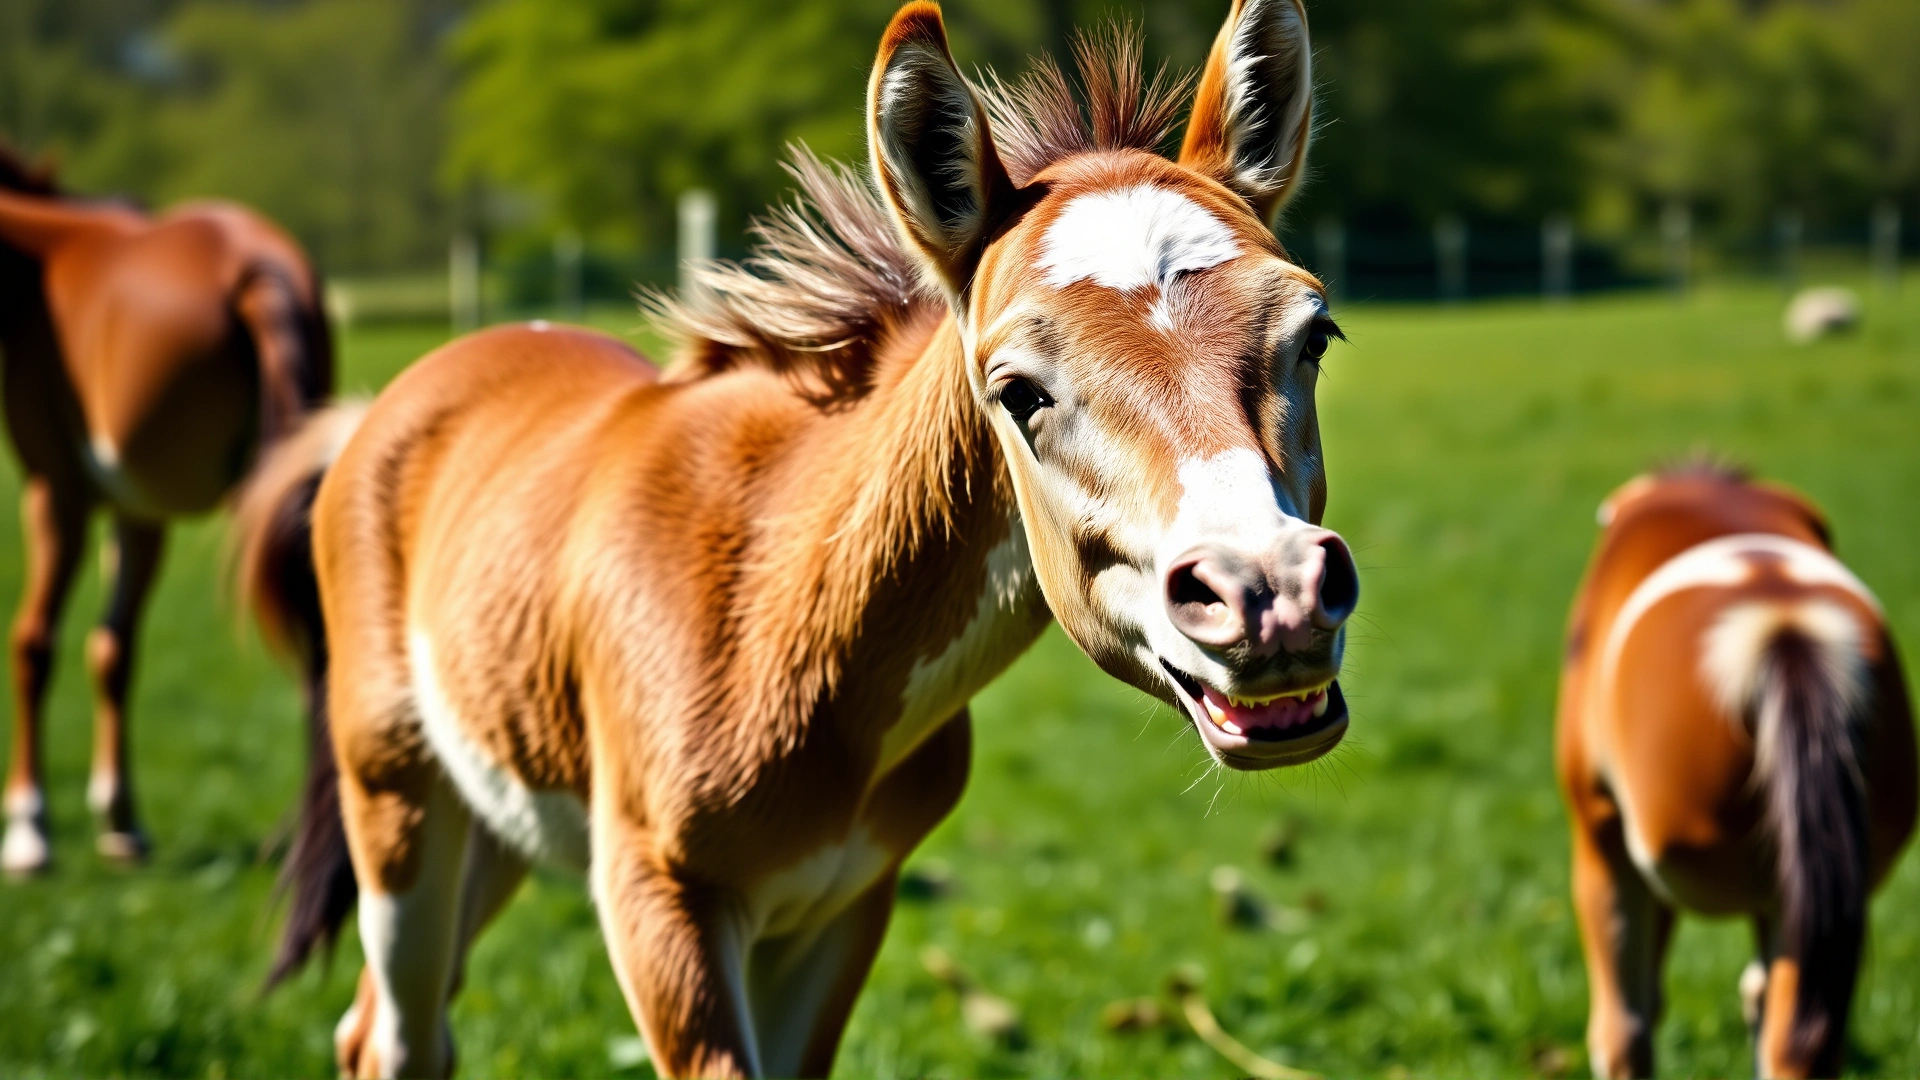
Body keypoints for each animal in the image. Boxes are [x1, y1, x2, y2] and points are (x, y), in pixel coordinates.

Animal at [0, 146, 333, 873]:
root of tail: (249, 257)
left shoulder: (56, 488)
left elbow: (35, 642)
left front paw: (30, 828)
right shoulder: (139, 511)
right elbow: (113, 651)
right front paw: (121, 823)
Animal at [237, 2, 1357, 1075]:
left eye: (1315, 336)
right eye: (1019, 390)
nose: (1270, 593)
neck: (787, 624)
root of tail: (380, 409)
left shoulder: (841, 907)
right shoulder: (658, 905)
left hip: (496, 816)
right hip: (397, 804)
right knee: (399, 1035)